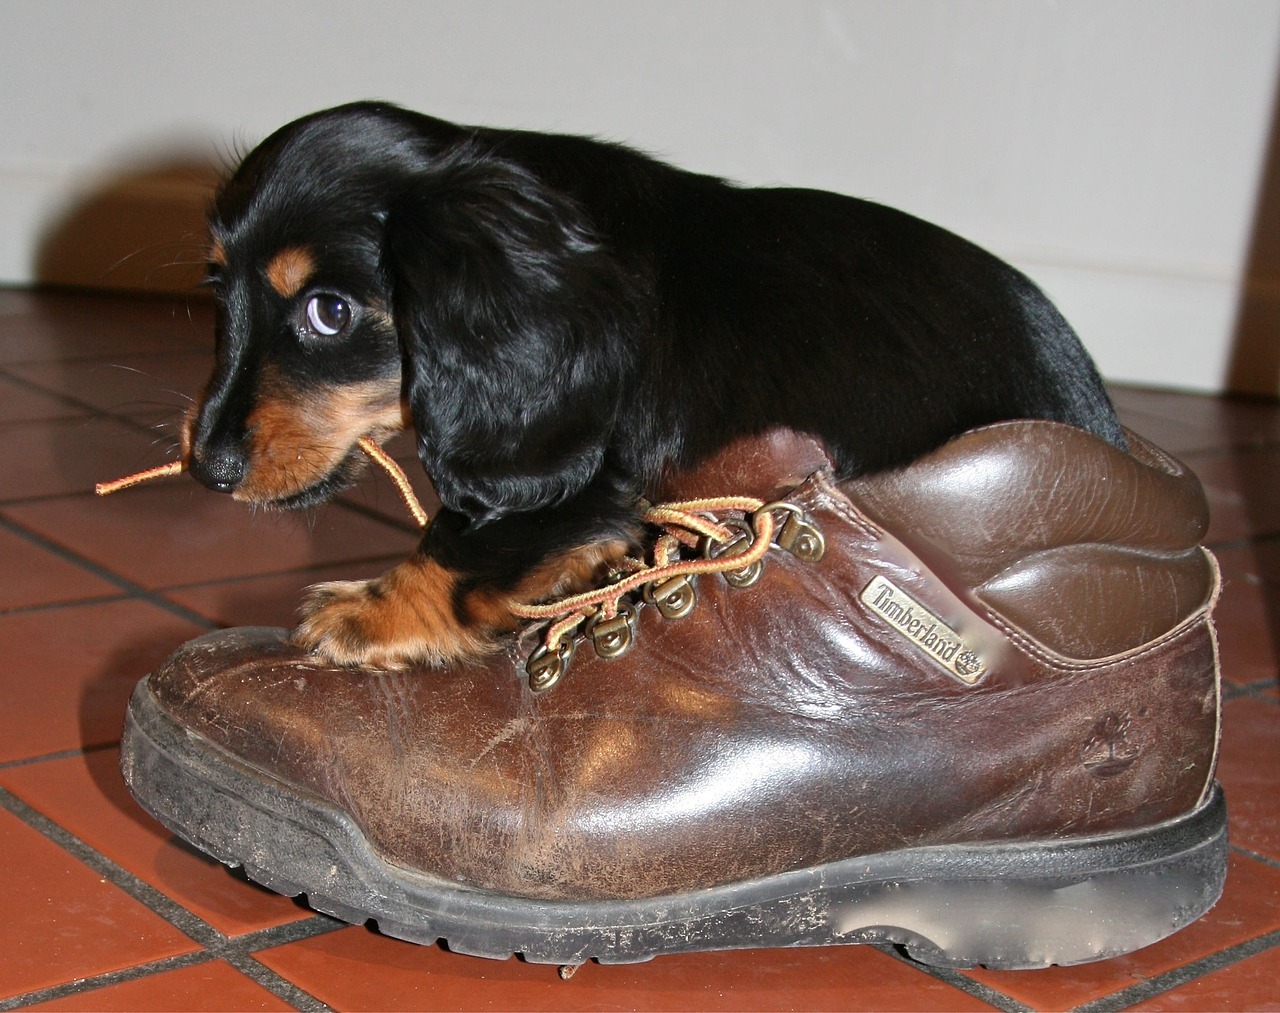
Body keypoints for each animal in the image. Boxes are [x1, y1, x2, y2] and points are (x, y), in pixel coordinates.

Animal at [186, 101, 1121, 671]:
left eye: (329, 312)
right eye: (217, 292)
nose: (206, 470)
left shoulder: (593, 471)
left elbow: (465, 540)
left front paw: (367, 609)